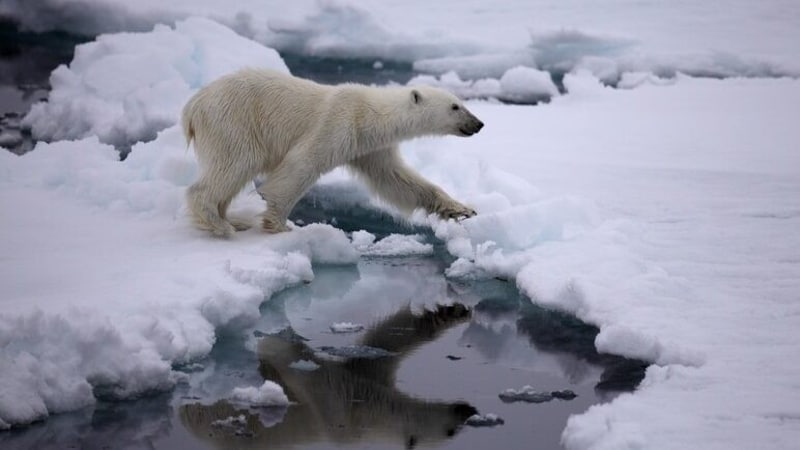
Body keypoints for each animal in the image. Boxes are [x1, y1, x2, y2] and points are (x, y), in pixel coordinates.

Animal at [181, 68, 482, 236]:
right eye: (455, 106)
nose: (479, 123)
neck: (369, 115)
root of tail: (193, 106)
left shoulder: (370, 148)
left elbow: (397, 180)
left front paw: (462, 209)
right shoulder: (337, 123)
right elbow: (301, 165)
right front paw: (279, 225)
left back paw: (230, 219)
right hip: (234, 120)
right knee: (235, 163)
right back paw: (220, 224)